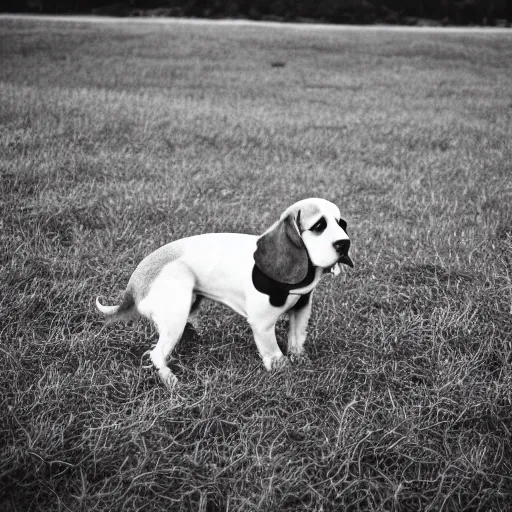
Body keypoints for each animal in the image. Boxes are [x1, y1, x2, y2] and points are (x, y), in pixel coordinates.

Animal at [95, 198, 352, 386]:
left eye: (342, 224)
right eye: (318, 226)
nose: (345, 244)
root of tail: (134, 287)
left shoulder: (301, 310)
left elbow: (297, 339)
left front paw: (300, 359)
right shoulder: (262, 324)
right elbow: (274, 353)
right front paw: (284, 370)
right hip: (176, 313)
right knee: (156, 353)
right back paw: (170, 380)